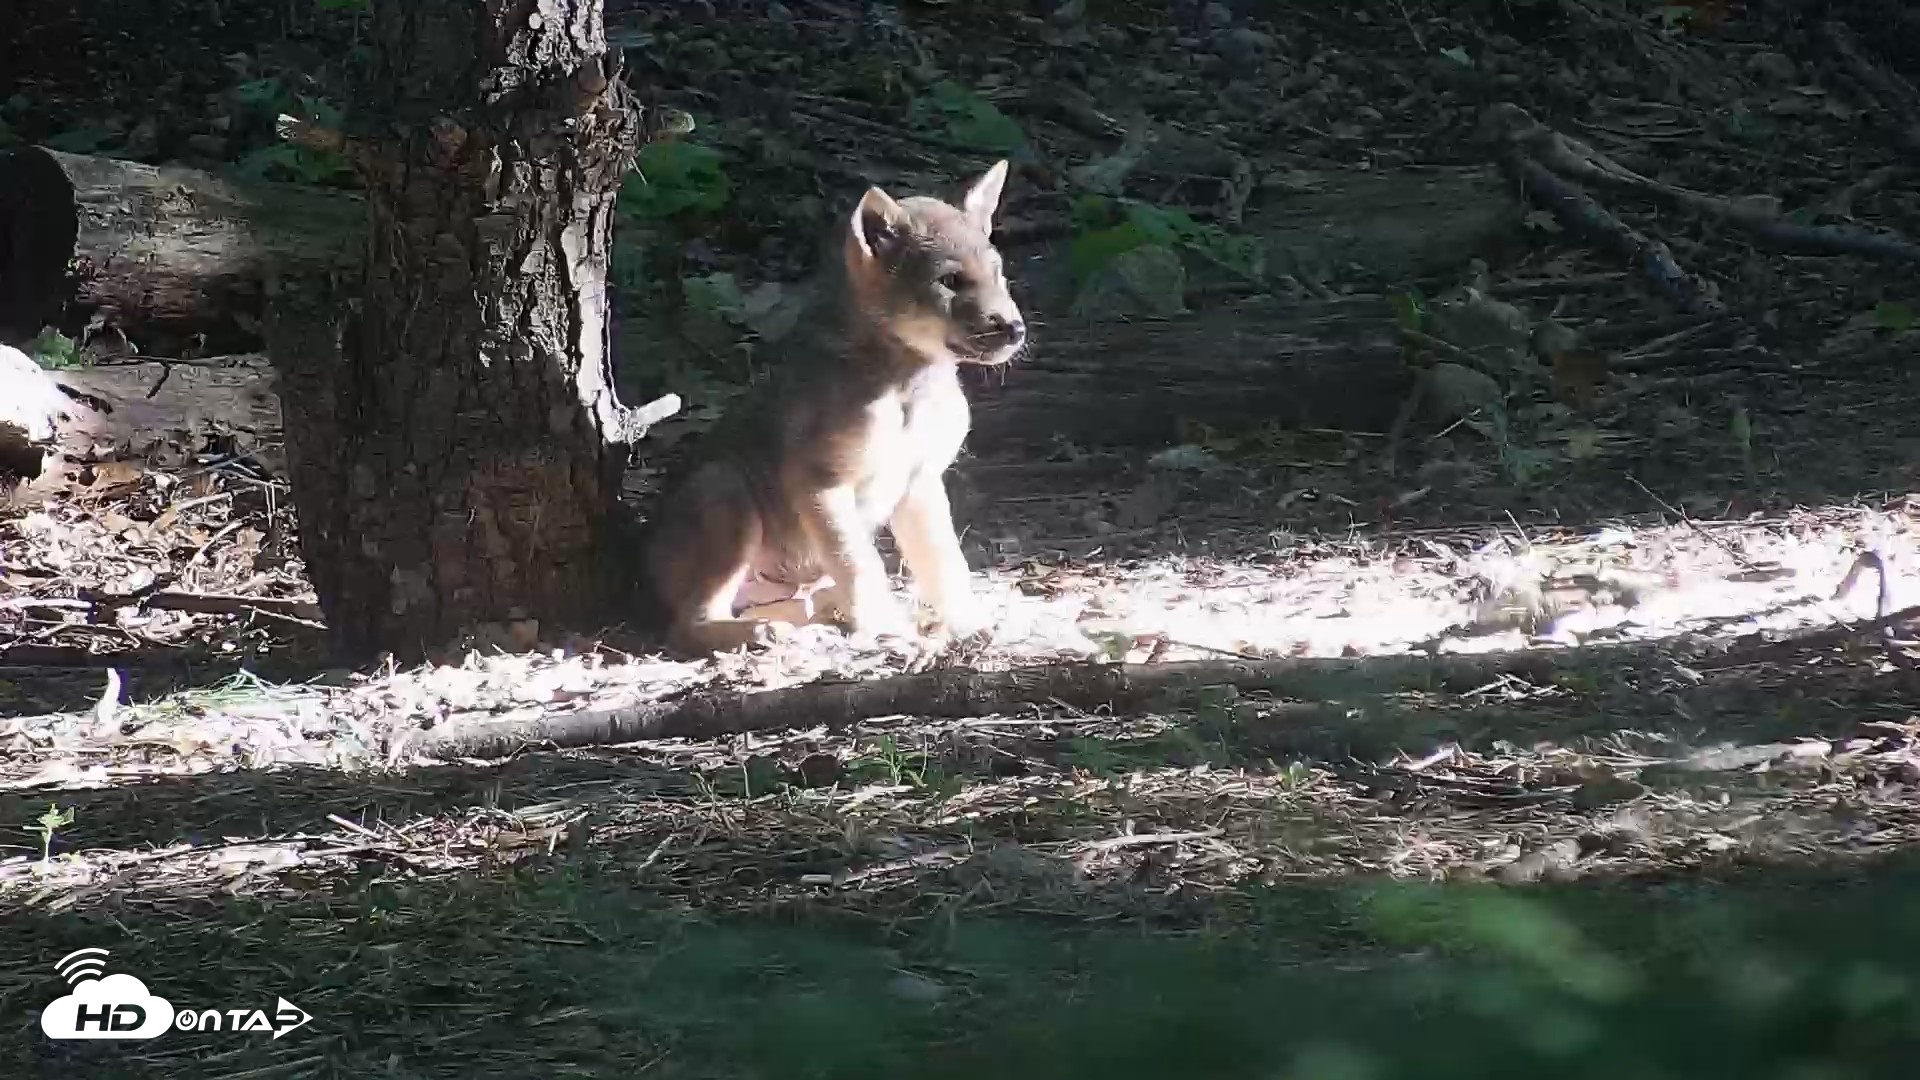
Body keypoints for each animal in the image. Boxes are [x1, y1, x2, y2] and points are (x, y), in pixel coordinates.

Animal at [637, 161, 1027, 656]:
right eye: (950, 282)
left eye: (998, 273)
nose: (1015, 328)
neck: (910, 388)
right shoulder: (821, 482)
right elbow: (861, 565)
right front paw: (888, 630)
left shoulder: (919, 482)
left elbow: (944, 562)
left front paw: (969, 623)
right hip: (725, 488)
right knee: (689, 623)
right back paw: (768, 632)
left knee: (797, 600)